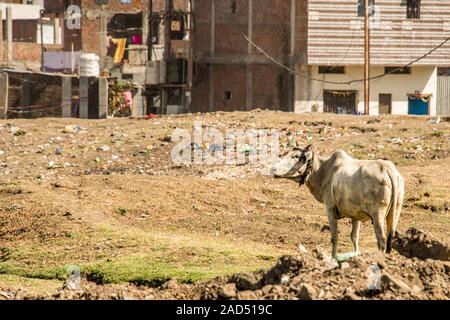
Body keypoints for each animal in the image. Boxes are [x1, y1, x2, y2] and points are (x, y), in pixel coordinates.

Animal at [272, 145, 406, 258]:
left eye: (296, 156)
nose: (274, 169)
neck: (323, 170)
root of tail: (389, 169)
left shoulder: (330, 208)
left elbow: (334, 236)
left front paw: (333, 257)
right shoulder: (355, 214)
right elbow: (354, 236)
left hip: (378, 213)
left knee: (381, 239)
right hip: (395, 211)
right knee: (390, 237)